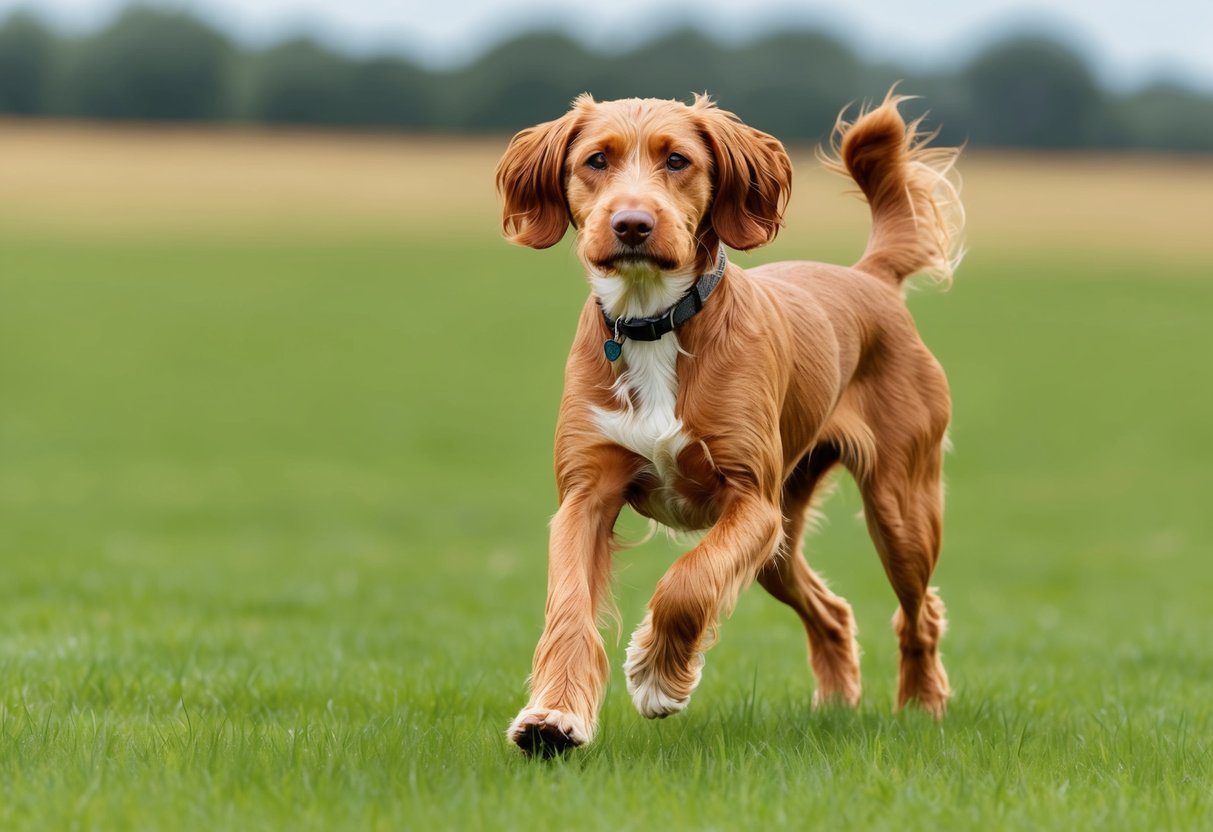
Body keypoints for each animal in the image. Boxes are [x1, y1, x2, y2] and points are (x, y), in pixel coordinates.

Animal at [497, 89, 960, 756]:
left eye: (678, 160)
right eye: (596, 160)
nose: (631, 224)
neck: (654, 322)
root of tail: (868, 276)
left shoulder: (751, 501)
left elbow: (688, 584)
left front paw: (656, 677)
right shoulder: (584, 496)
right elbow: (569, 609)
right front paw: (553, 718)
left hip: (899, 510)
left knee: (919, 612)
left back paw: (923, 706)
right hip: (783, 540)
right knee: (831, 609)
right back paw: (835, 703)